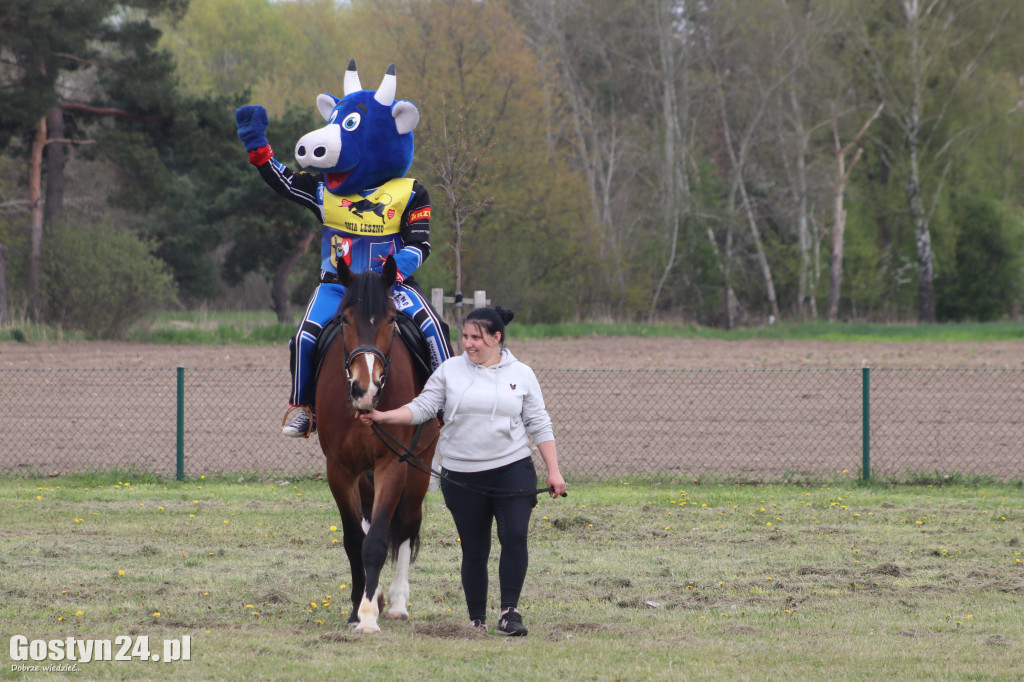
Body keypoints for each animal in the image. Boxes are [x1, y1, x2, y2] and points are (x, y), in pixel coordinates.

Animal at [313, 254, 438, 630]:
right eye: (344, 319)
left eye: (391, 319)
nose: (364, 389)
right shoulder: (340, 469)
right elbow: (356, 538)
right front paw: (359, 606)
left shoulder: (392, 464)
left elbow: (379, 539)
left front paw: (369, 615)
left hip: (419, 464)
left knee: (407, 523)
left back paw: (396, 602)